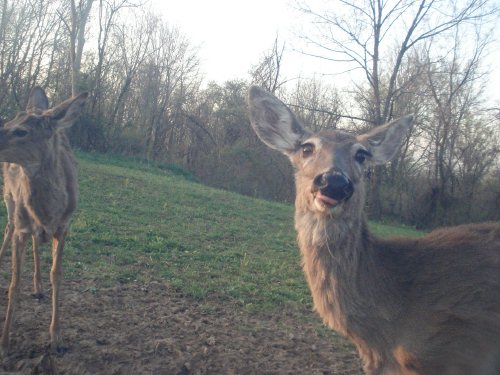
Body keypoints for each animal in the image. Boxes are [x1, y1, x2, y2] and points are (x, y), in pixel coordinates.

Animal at [0, 86, 87, 356]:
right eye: (7, 123)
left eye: (21, 131)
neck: (48, 211)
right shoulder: (22, 226)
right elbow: (14, 282)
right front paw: (5, 343)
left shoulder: (64, 227)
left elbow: (56, 275)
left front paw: (56, 337)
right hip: (8, 197)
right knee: (8, 226)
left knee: (37, 244)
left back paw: (38, 288)